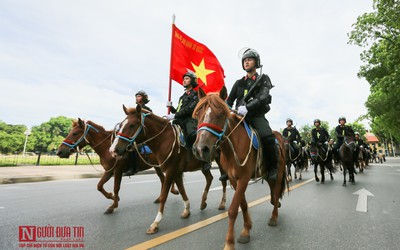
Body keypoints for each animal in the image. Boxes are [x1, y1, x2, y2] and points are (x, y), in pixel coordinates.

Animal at [109, 105, 228, 234]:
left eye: (132, 125)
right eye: (121, 125)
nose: (113, 150)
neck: (164, 140)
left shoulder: (171, 171)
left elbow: (164, 196)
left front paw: (156, 223)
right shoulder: (176, 172)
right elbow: (181, 190)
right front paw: (187, 210)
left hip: (221, 161)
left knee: (224, 180)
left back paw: (222, 203)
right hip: (203, 167)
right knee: (209, 178)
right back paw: (203, 202)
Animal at [191, 86, 288, 250]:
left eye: (220, 114)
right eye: (198, 114)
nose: (200, 149)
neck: (232, 147)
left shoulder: (243, 178)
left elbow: (232, 209)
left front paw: (229, 242)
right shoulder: (233, 179)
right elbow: (242, 205)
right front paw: (246, 230)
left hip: (280, 172)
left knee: (276, 190)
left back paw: (274, 217)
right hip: (267, 173)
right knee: (272, 188)